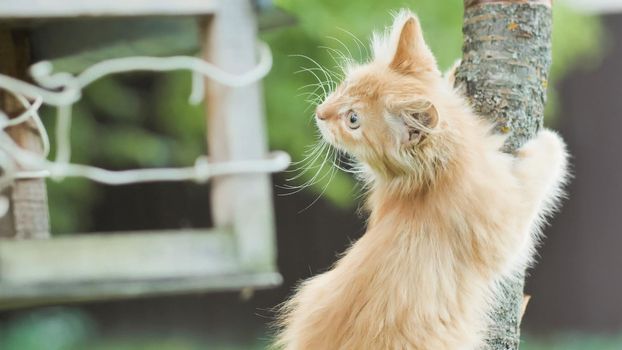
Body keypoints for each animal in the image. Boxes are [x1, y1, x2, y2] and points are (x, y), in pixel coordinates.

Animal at [276, 9, 572, 348]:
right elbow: (535, 181)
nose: (320, 113)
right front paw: (551, 144)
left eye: (352, 119)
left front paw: (451, 76)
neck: (429, 182)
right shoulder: (504, 229)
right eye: (346, 85)